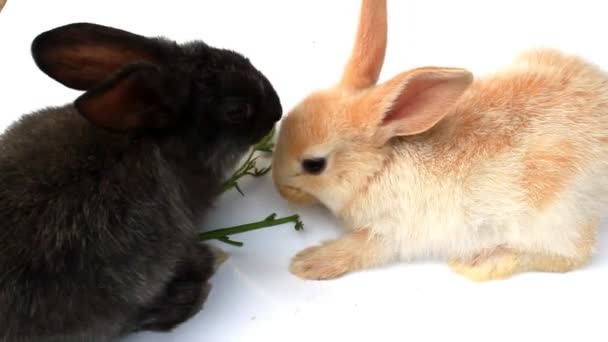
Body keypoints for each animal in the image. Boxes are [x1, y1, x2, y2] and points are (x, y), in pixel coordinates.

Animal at [274, 0, 608, 282]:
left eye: (314, 164)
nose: (278, 186)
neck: (379, 167)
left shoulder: (392, 231)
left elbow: (360, 248)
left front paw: (307, 263)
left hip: (551, 215)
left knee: (573, 253)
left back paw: (480, 263)